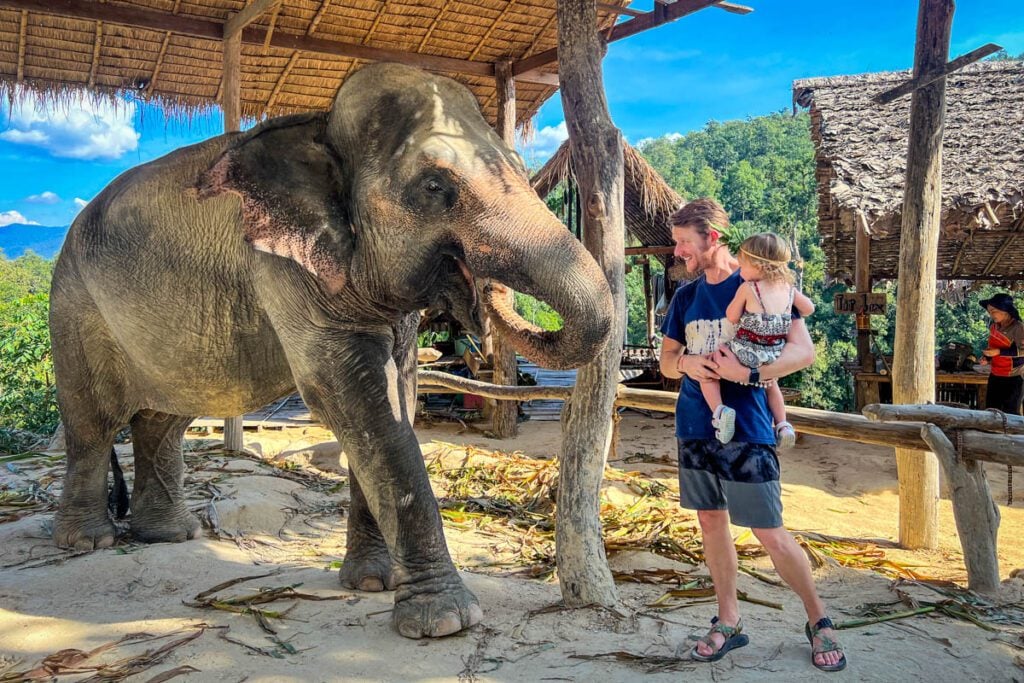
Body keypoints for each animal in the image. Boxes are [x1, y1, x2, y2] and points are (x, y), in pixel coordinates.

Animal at [48, 62, 610, 643]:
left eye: (521, 168)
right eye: (435, 187)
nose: (482, 287)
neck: (320, 128)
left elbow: (398, 391)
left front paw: (372, 583)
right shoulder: (280, 264)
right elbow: (349, 392)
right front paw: (444, 622)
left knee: (164, 418)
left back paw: (169, 535)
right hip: (75, 306)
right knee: (92, 421)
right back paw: (88, 542)